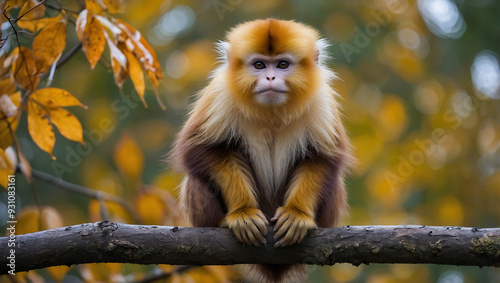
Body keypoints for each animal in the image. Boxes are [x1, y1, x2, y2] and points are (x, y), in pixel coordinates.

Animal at [171, 18, 352, 282]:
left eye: (283, 64)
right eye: (259, 65)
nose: (270, 77)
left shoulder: (321, 99)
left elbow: (322, 158)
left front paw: (297, 214)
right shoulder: (220, 93)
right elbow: (201, 150)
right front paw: (243, 213)